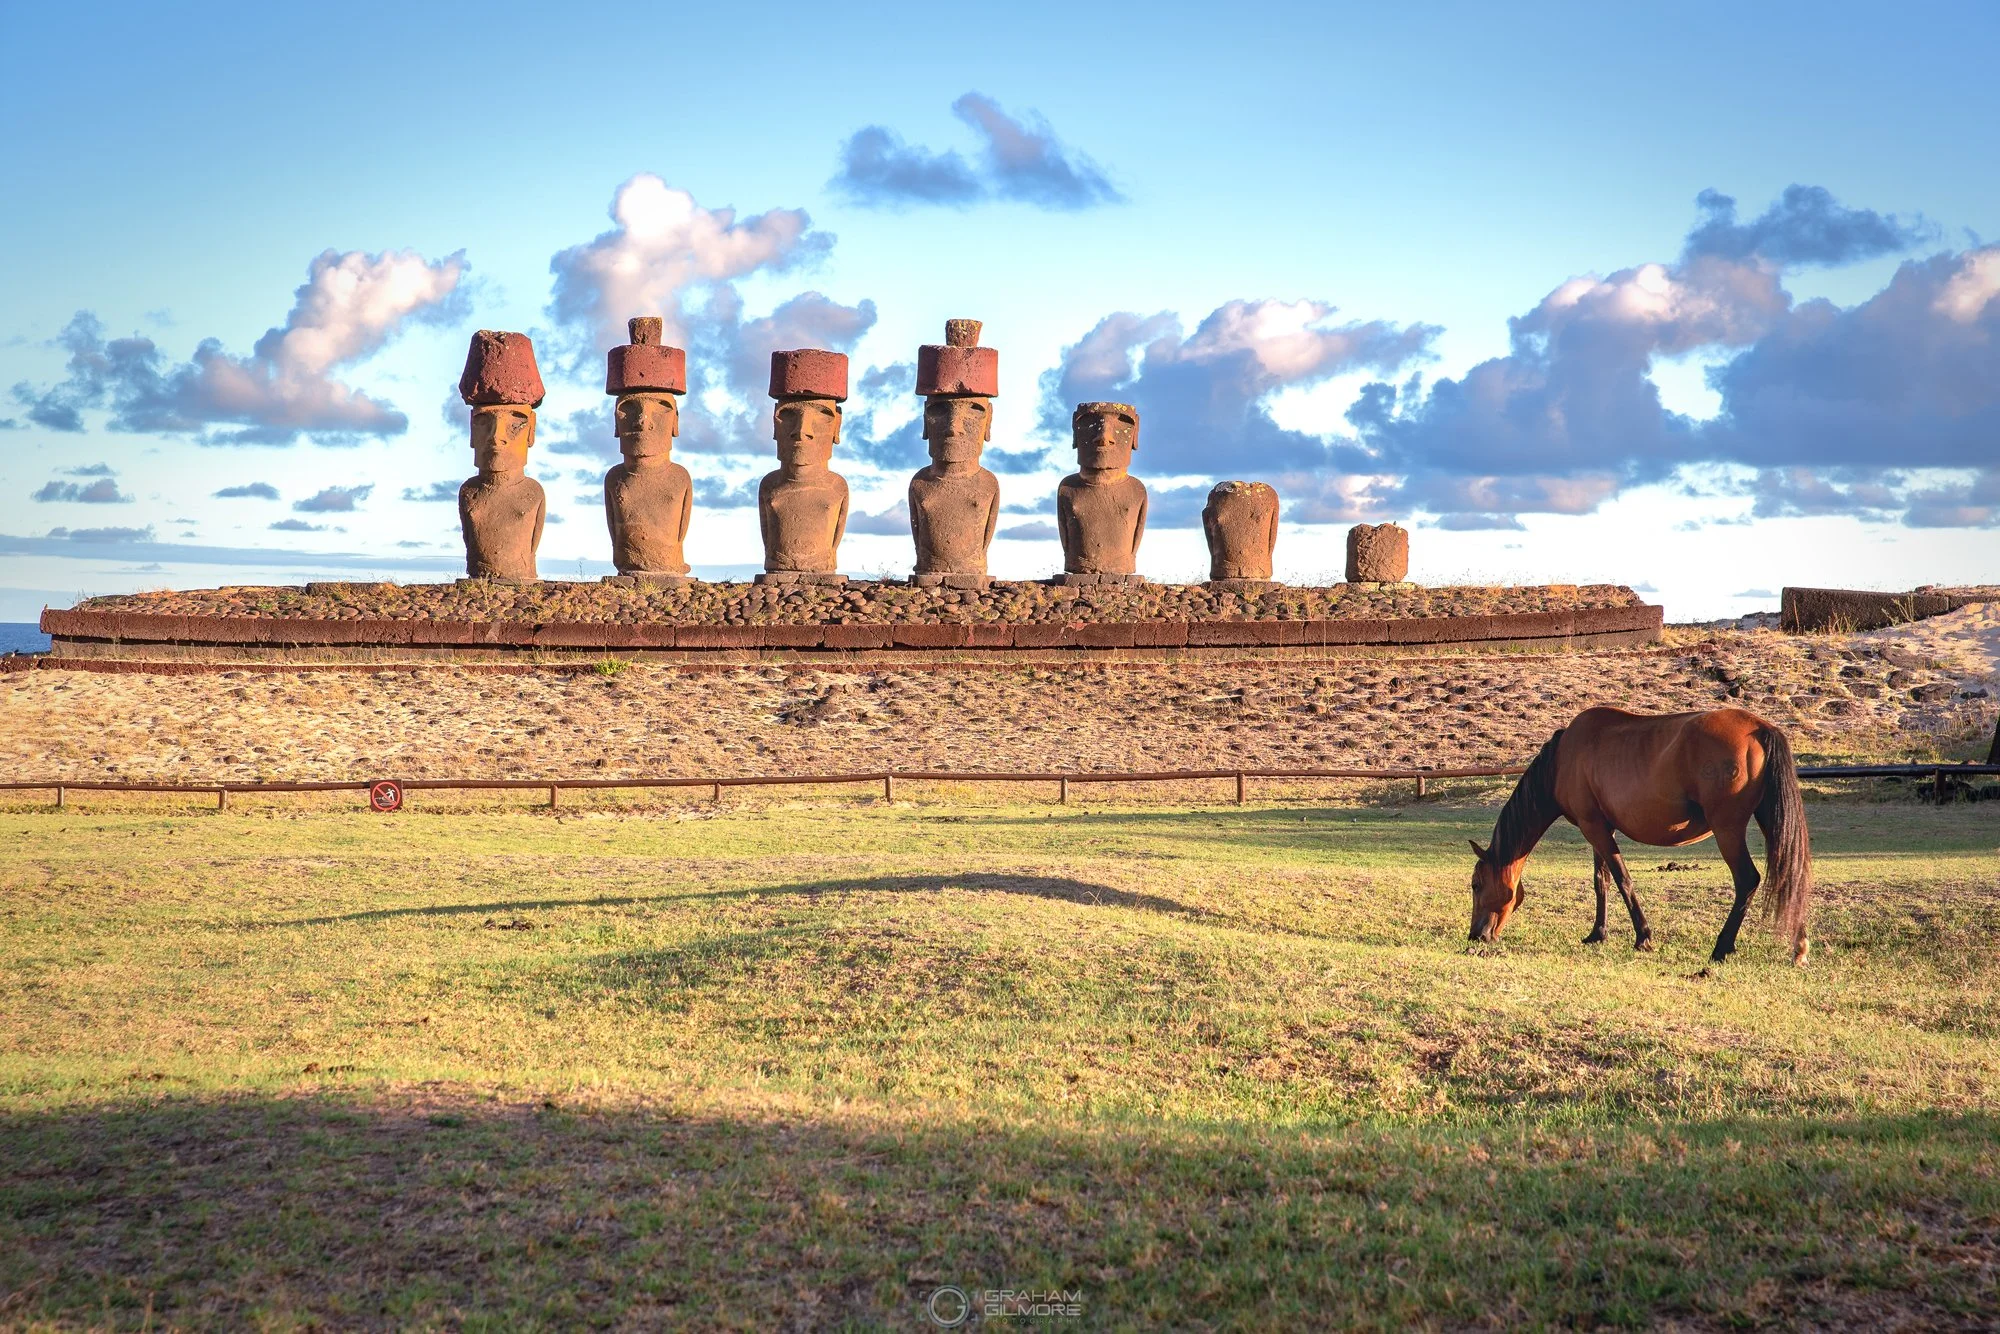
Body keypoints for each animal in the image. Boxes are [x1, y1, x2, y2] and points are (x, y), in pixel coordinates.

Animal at [1466, 707, 1812, 965]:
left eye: (1476, 884)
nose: (1476, 936)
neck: (1563, 759)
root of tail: (1760, 728)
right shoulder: (1600, 827)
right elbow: (1601, 882)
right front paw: (1598, 934)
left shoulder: (1595, 828)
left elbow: (1622, 880)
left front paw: (1643, 936)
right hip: (1770, 822)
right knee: (1790, 874)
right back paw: (1799, 949)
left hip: (1728, 829)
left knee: (1747, 880)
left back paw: (1722, 948)